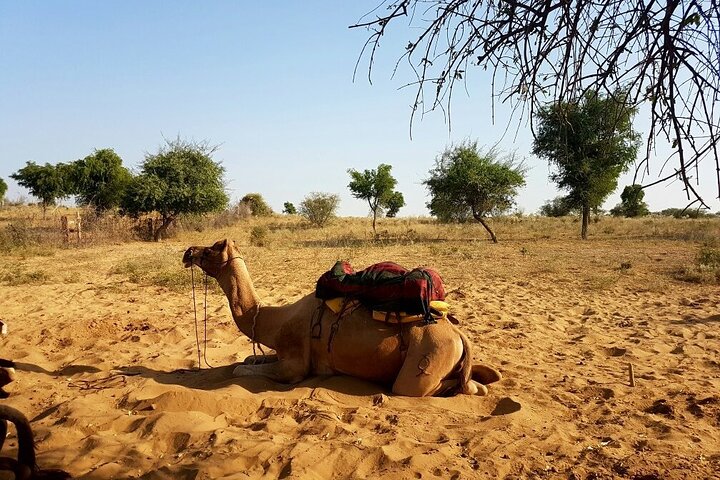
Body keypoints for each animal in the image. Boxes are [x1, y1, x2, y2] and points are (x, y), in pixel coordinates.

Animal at [182, 239, 501, 397]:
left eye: (212, 248)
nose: (188, 252)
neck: (276, 320)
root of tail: (459, 335)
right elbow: (248, 359)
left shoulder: (294, 365)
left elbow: (240, 370)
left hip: (427, 357)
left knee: (452, 387)